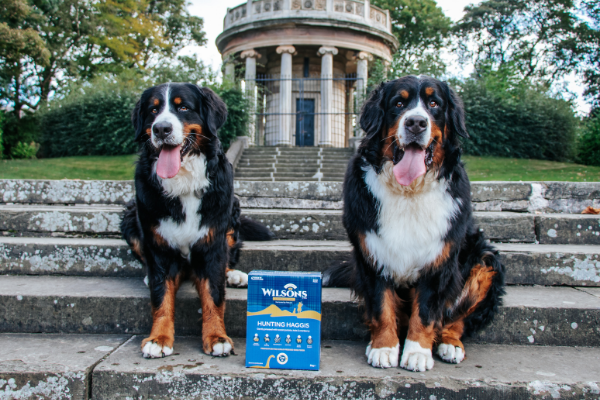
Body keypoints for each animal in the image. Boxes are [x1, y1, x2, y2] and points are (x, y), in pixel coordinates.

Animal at [122, 83, 272, 358]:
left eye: (183, 107)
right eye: (153, 110)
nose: (161, 129)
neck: (183, 183)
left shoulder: (212, 242)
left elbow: (214, 295)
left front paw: (217, 337)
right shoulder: (159, 246)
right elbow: (161, 297)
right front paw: (159, 338)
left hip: (232, 212)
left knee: (227, 260)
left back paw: (234, 275)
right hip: (129, 217)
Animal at [326, 76, 504, 372]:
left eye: (434, 103)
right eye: (399, 103)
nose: (416, 123)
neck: (409, 191)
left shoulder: (439, 258)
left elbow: (427, 312)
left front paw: (417, 351)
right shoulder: (372, 252)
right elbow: (381, 305)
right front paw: (384, 347)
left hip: (484, 259)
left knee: (456, 319)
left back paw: (450, 345)